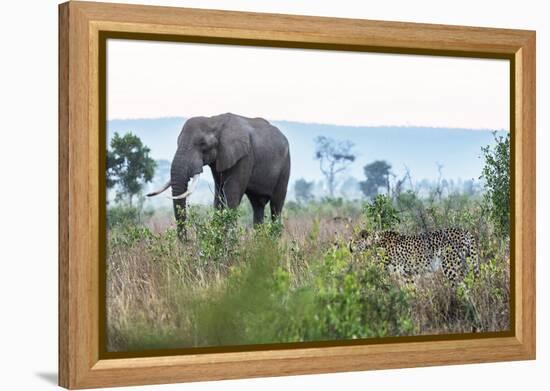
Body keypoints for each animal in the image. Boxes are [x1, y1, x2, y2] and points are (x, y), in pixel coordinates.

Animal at [147, 112, 294, 237]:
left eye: (203, 144)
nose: (186, 242)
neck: (214, 121)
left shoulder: (244, 157)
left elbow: (231, 195)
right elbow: (219, 195)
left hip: (285, 165)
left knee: (276, 205)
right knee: (257, 205)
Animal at [352, 227, 480, 284]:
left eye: (354, 241)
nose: (349, 247)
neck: (376, 241)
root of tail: (464, 230)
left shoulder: (397, 273)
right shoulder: (407, 275)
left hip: (450, 266)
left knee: (461, 285)